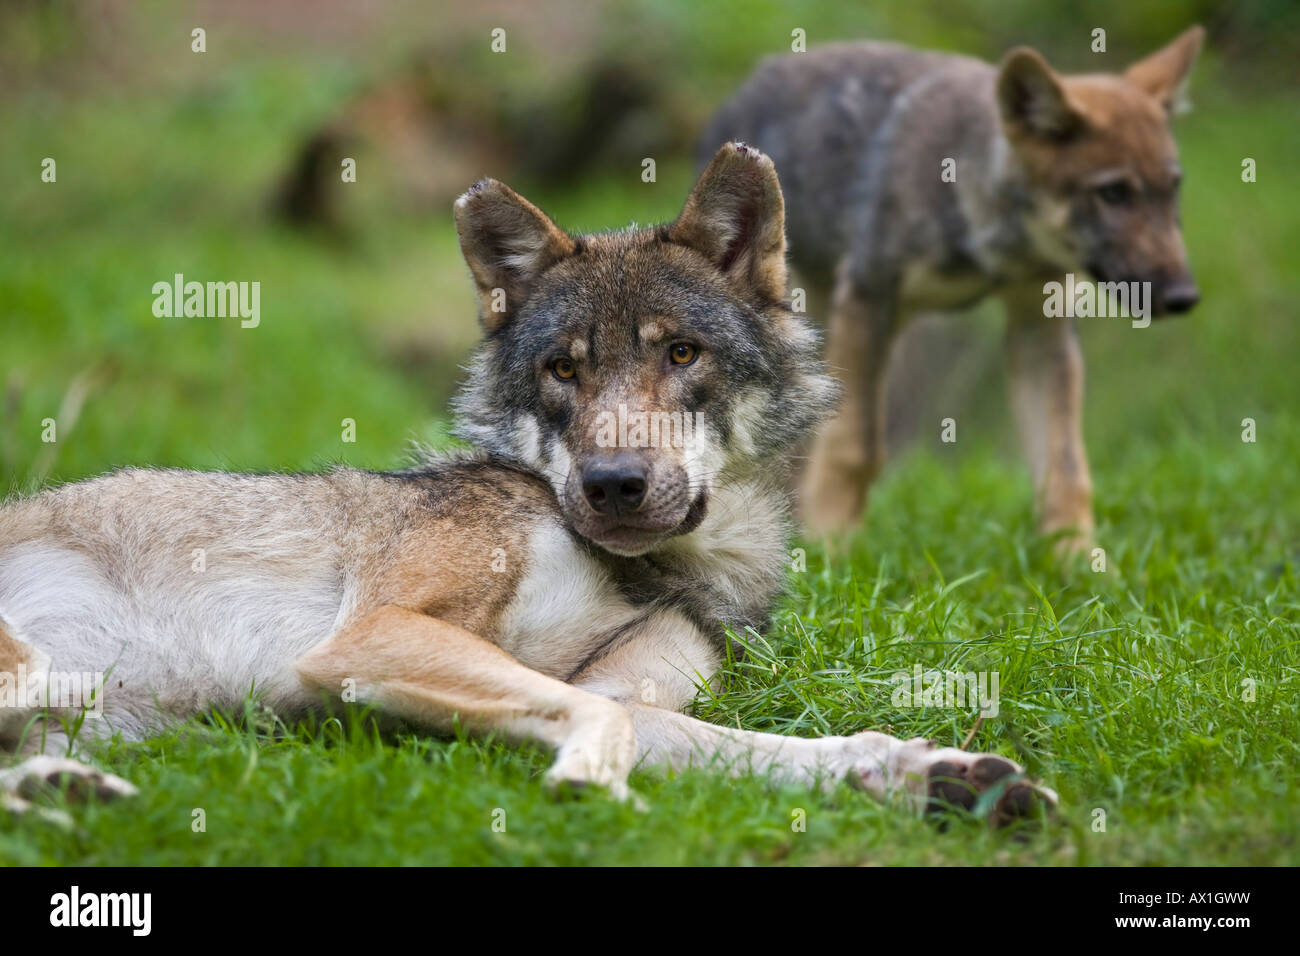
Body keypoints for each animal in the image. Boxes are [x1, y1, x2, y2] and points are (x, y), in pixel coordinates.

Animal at [0, 141, 1055, 822]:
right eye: (563, 370)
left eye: (681, 353)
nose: (615, 483)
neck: (671, 573)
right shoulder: (374, 636)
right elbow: (603, 719)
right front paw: (590, 783)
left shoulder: (637, 695)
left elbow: (777, 751)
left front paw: (944, 777)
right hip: (40, 669)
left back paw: (69, 793)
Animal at [707, 26, 1201, 546]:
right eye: (1113, 193)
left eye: (1172, 189)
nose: (1184, 297)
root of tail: (754, 78)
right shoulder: (869, 301)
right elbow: (856, 448)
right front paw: (835, 547)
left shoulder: (1040, 329)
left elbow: (1065, 465)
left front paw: (1077, 558)